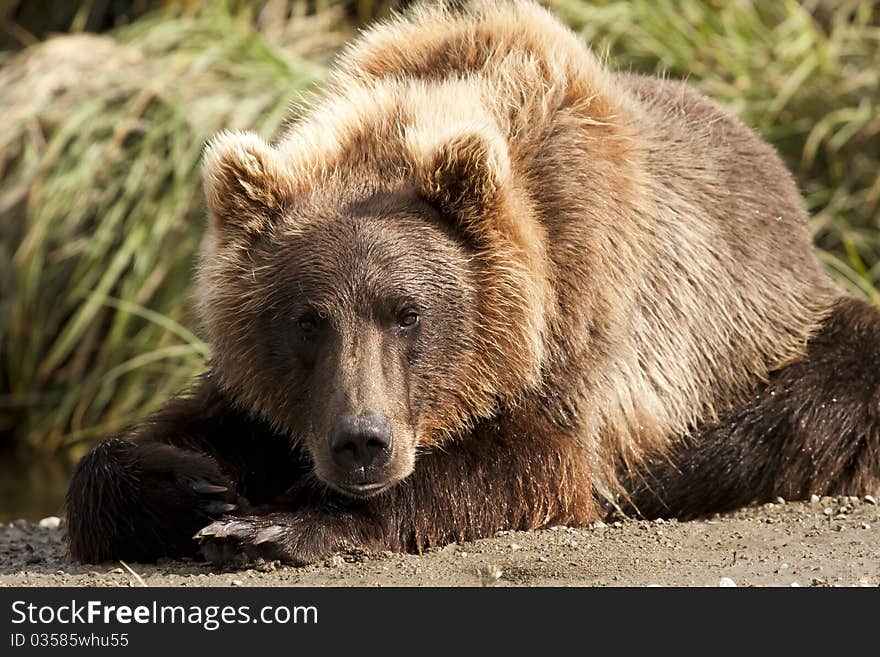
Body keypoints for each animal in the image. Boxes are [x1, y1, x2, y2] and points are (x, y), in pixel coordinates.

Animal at [67, 0, 880, 564]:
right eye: (306, 320)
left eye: (407, 312)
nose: (362, 441)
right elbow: (176, 432)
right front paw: (190, 483)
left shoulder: (582, 318)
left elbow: (528, 463)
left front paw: (273, 523)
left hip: (766, 334)